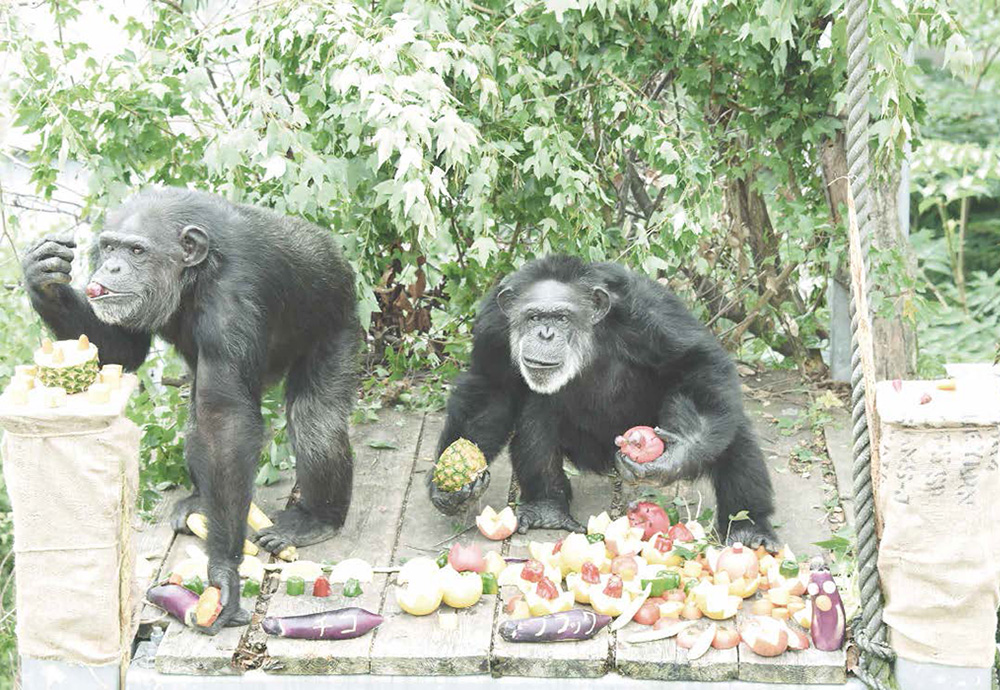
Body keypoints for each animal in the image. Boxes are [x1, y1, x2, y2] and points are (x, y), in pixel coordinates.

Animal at [21, 185, 360, 632]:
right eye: (109, 246)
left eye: (137, 250)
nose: (111, 266)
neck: (194, 276)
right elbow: (123, 351)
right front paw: (43, 275)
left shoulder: (232, 304)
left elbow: (226, 423)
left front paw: (223, 575)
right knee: (199, 415)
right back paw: (201, 502)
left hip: (339, 327)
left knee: (313, 421)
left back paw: (316, 519)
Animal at [430, 253, 780, 548]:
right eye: (532, 317)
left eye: (561, 317)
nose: (545, 333)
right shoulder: (493, 326)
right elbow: (491, 388)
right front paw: (451, 487)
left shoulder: (653, 312)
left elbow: (697, 361)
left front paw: (676, 456)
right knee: (537, 409)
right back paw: (547, 507)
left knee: (731, 428)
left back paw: (750, 528)